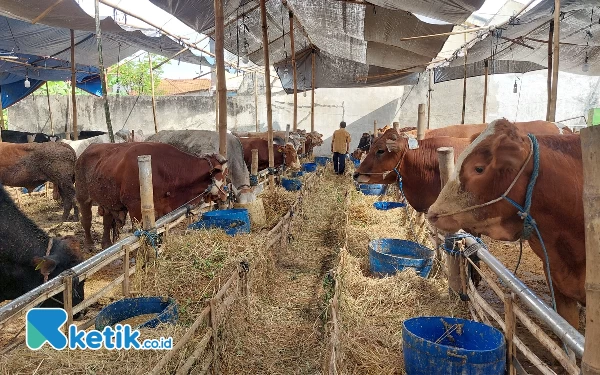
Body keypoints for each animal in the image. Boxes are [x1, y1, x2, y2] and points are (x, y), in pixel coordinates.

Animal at [73, 142, 227, 248]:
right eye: (225, 174)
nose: (225, 195)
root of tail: (87, 149)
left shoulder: (163, 210)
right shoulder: (135, 208)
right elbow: (140, 233)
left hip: (107, 201)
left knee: (106, 221)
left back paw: (106, 244)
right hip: (82, 195)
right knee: (86, 220)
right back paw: (89, 244)